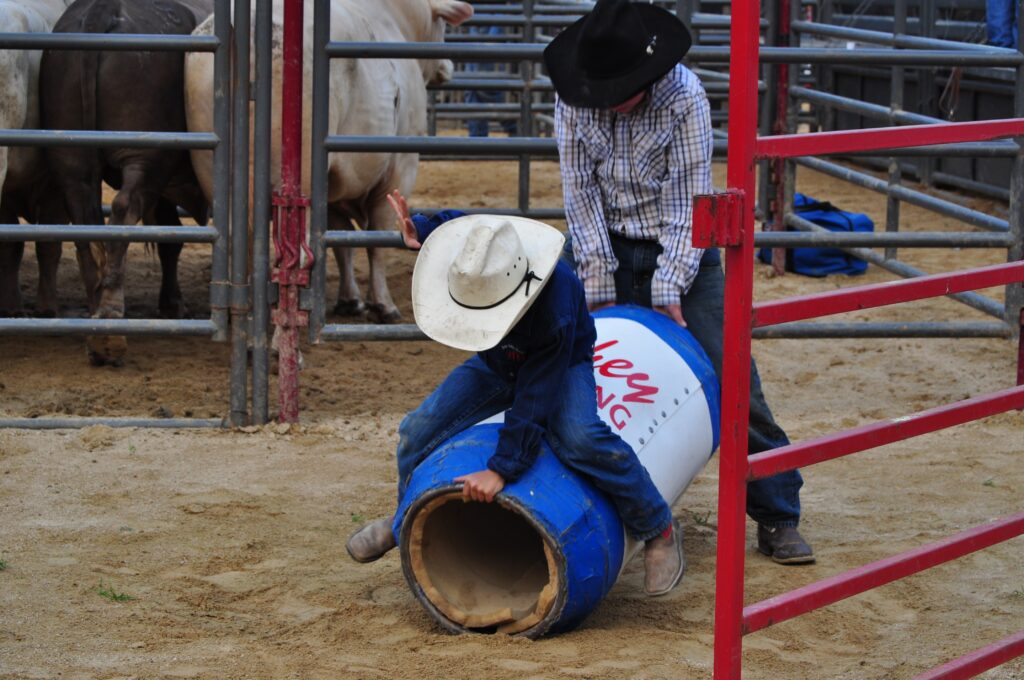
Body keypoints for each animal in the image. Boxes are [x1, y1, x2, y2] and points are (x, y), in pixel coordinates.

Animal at [184, 0, 471, 323]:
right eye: (444, 25)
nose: (448, 66)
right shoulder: (400, 169)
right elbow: (378, 239)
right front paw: (383, 305)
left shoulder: (332, 184)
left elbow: (342, 244)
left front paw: (350, 300)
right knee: (294, 256)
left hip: (217, 177)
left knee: (237, 243)